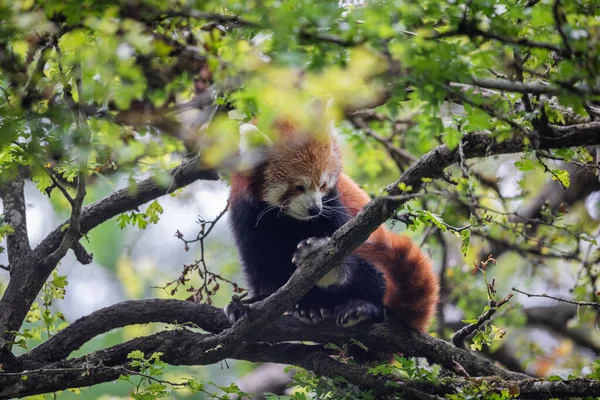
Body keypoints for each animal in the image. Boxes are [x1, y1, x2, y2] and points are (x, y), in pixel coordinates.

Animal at [227, 117, 438, 332]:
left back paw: (357, 302)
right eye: (299, 187)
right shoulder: (249, 217)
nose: (315, 209)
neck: (288, 219)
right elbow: (261, 267)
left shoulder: (335, 207)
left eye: (322, 185)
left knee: (374, 275)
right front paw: (252, 303)